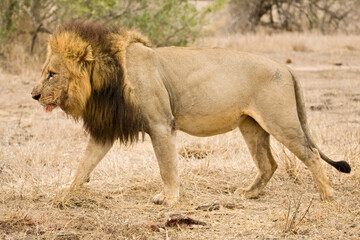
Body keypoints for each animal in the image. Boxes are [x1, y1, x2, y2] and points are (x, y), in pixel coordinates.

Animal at [32, 21, 350, 204]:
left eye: (51, 74)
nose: (33, 95)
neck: (103, 81)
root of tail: (286, 67)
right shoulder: (107, 129)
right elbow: (84, 164)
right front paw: (66, 191)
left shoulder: (161, 124)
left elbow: (167, 166)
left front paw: (170, 199)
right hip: (251, 126)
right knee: (268, 164)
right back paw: (249, 193)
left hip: (280, 121)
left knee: (310, 153)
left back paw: (327, 195)